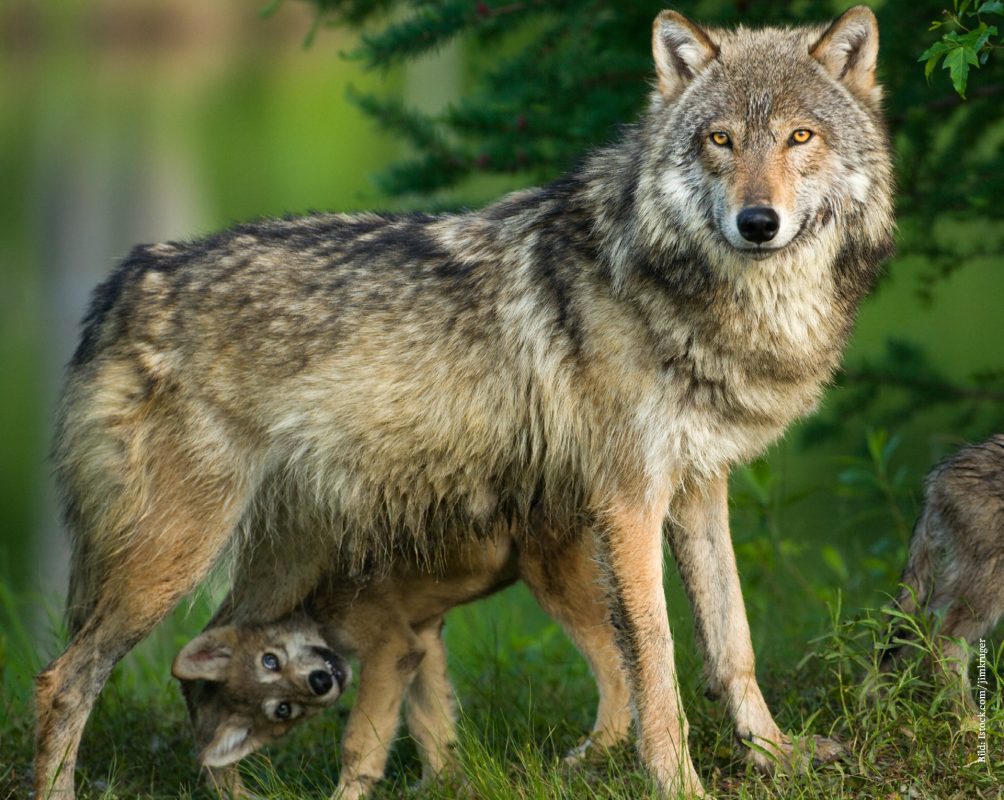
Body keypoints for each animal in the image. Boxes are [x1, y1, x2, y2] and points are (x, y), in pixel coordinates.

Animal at [176, 526, 632, 799]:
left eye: (269, 660)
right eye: (284, 710)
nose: (322, 682)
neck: (313, 599)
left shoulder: (390, 647)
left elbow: (359, 742)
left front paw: (346, 796)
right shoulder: (420, 640)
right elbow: (431, 724)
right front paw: (441, 785)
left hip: (558, 583)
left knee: (619, 675)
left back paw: (592, 753)